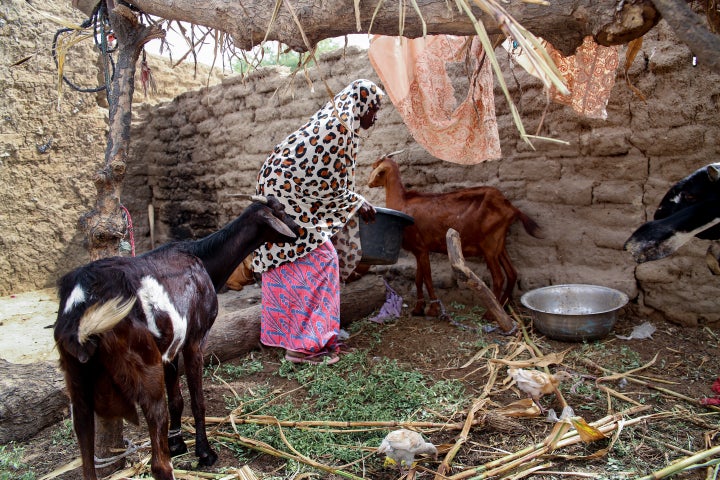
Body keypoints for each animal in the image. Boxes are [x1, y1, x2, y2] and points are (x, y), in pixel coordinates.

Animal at [54, 196, 298, 480]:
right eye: (280, 211)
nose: (299, 230)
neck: (201, 258)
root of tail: (84, 303)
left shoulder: (169, 349)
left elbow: (178, 401)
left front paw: (177, 442)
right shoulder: (195, 339)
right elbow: (197, 401)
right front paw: (204, 453)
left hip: (76, 376)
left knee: (85, 450)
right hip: (144, 367)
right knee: (159, 463)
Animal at [368, 156, 544, 316]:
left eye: (378, 171)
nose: (369, 184)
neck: (403, 202)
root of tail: (511, 208)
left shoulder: (421, 248)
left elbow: (428, 278)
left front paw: (434, 309)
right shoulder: (420, 250)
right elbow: (419, 279)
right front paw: (418, 309)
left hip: (489, 247)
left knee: (499, 278)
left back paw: (491, 314)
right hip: (499, 245)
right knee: (512, 273)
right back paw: (504, 306)